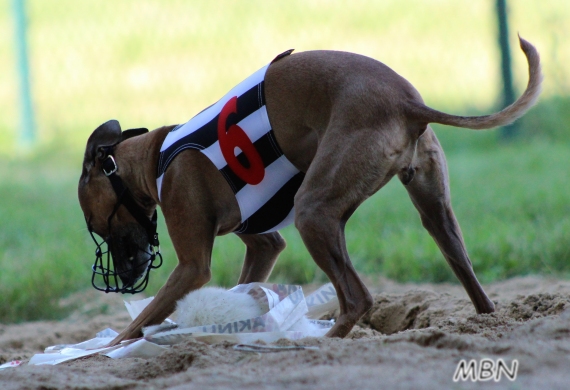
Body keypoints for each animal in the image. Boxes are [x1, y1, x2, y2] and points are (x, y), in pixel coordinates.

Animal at [79, 37, 536, 348]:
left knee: (357, 297)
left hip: (313, 212)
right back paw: (486, 322)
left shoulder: (192, 266)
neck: (156, 158)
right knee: (469, 276)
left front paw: (108, 347)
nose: (123, 280)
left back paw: (320, 341)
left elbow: (140, 321)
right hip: (434, 211)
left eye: (96, 225)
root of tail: (408, 103)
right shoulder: (264, 244)